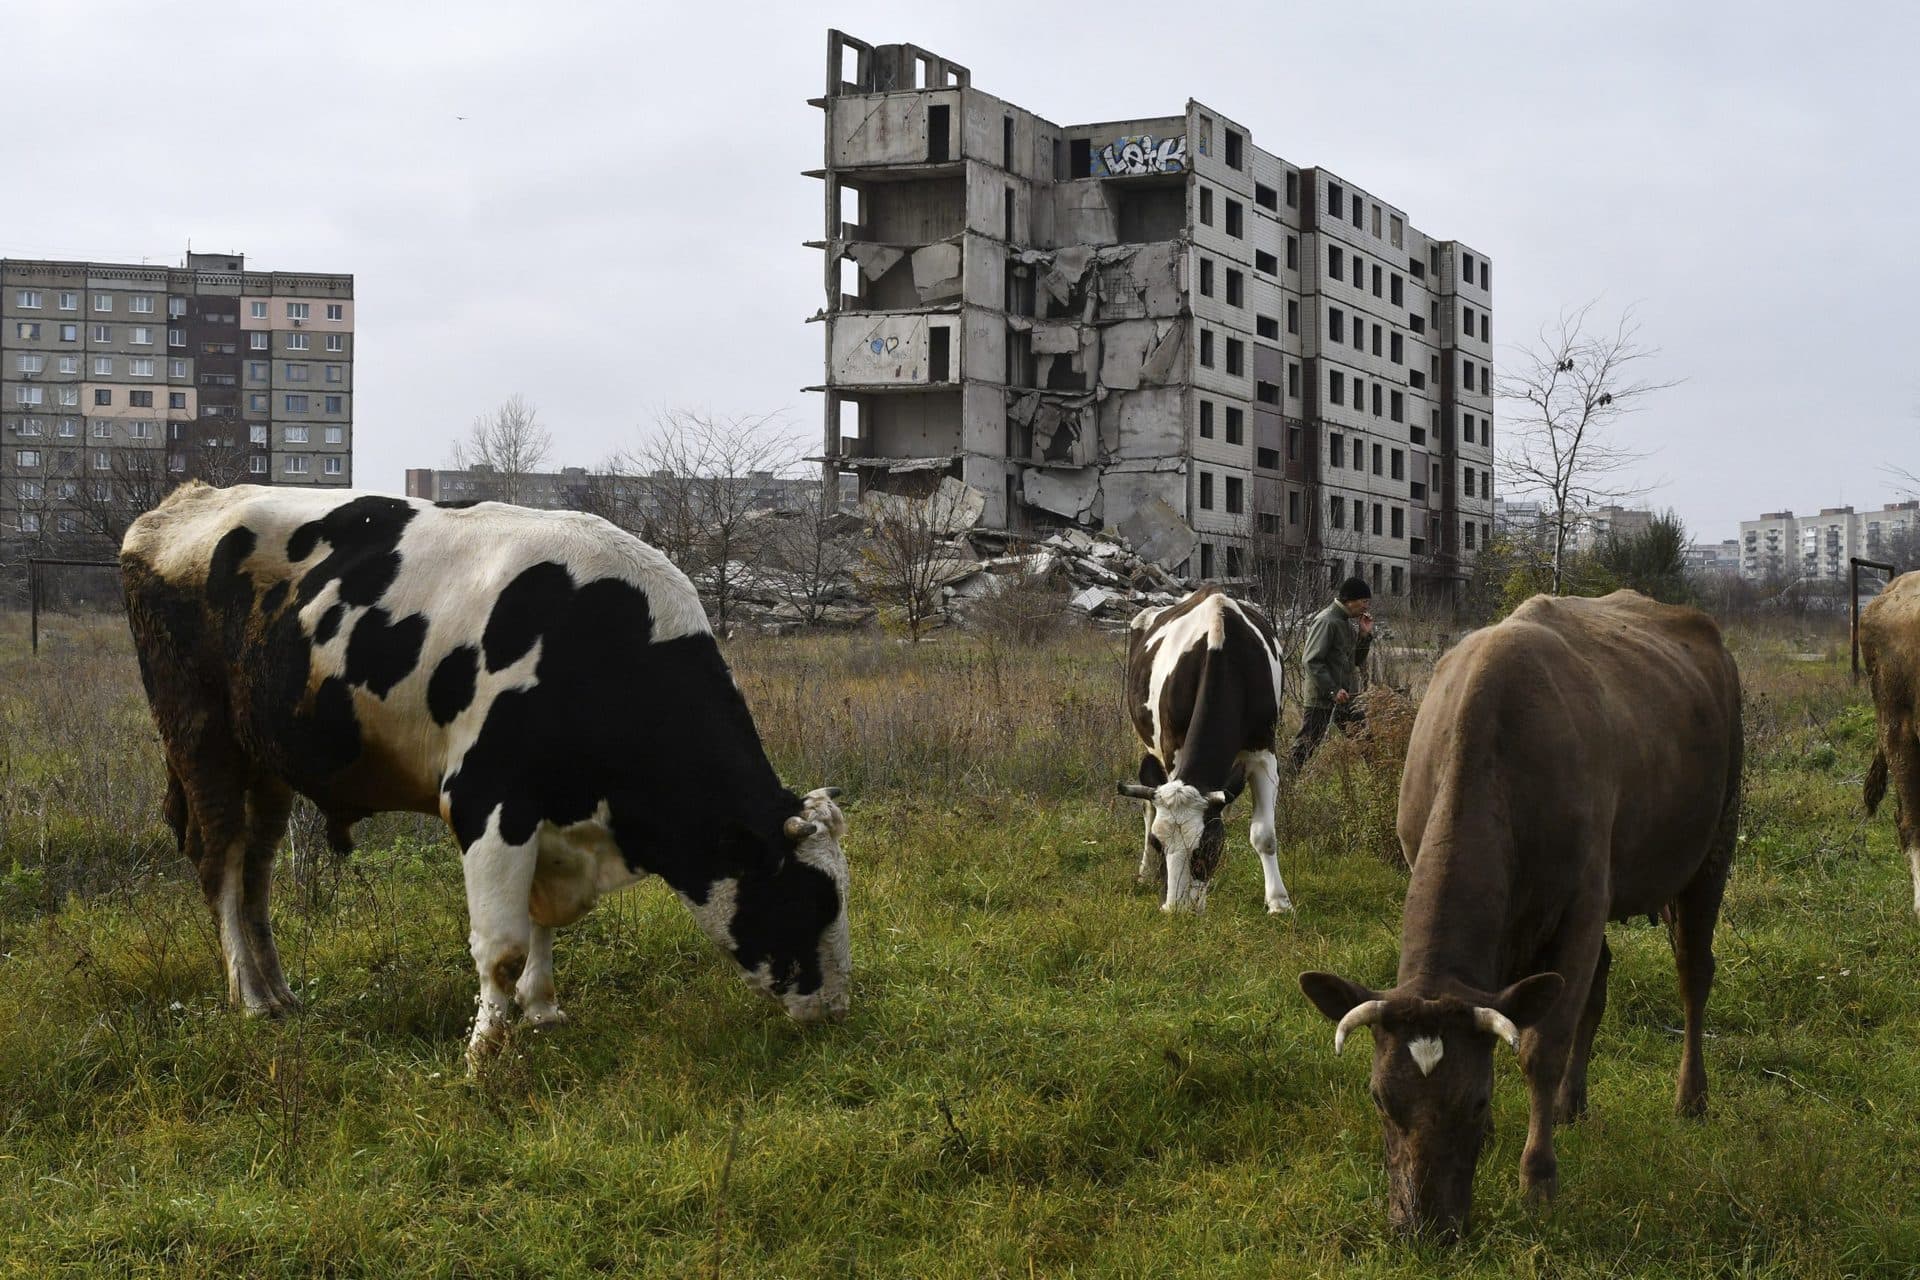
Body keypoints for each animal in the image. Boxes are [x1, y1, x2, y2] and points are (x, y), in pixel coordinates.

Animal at [120, 483, 851, 1065]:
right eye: (811, 899)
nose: (838, 1011)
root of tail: (181, 505)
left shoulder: (551, 821)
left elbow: (542, 924)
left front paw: (544, 1011)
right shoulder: (488, 801)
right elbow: (501, 945)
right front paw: (483, 1053)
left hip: (267, 762)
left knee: (257, 871)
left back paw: (279, 995)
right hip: (201, 740)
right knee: (221, 861)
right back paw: (249, 998)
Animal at [1117, 585, 1291, 914]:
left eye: (1208, 846)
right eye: (1159, 844)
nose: (1175, 909)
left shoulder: (1263, 752)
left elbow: (1265, 834)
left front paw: (1278, 902)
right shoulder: (1172, 751)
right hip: (1145, 743)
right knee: (1147, 804)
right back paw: (1145, 873)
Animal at [1299, 590, 1742, 1238]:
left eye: (1477, 1098)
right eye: (1380, 1098)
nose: (1423, 1227)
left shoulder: (1582, 903)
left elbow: (1541, 1045)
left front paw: (1537, 1179)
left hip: (1714, 842)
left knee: (1692, 971)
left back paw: (1691, 1097)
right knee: (1597, 986)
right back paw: (1570, 1104)